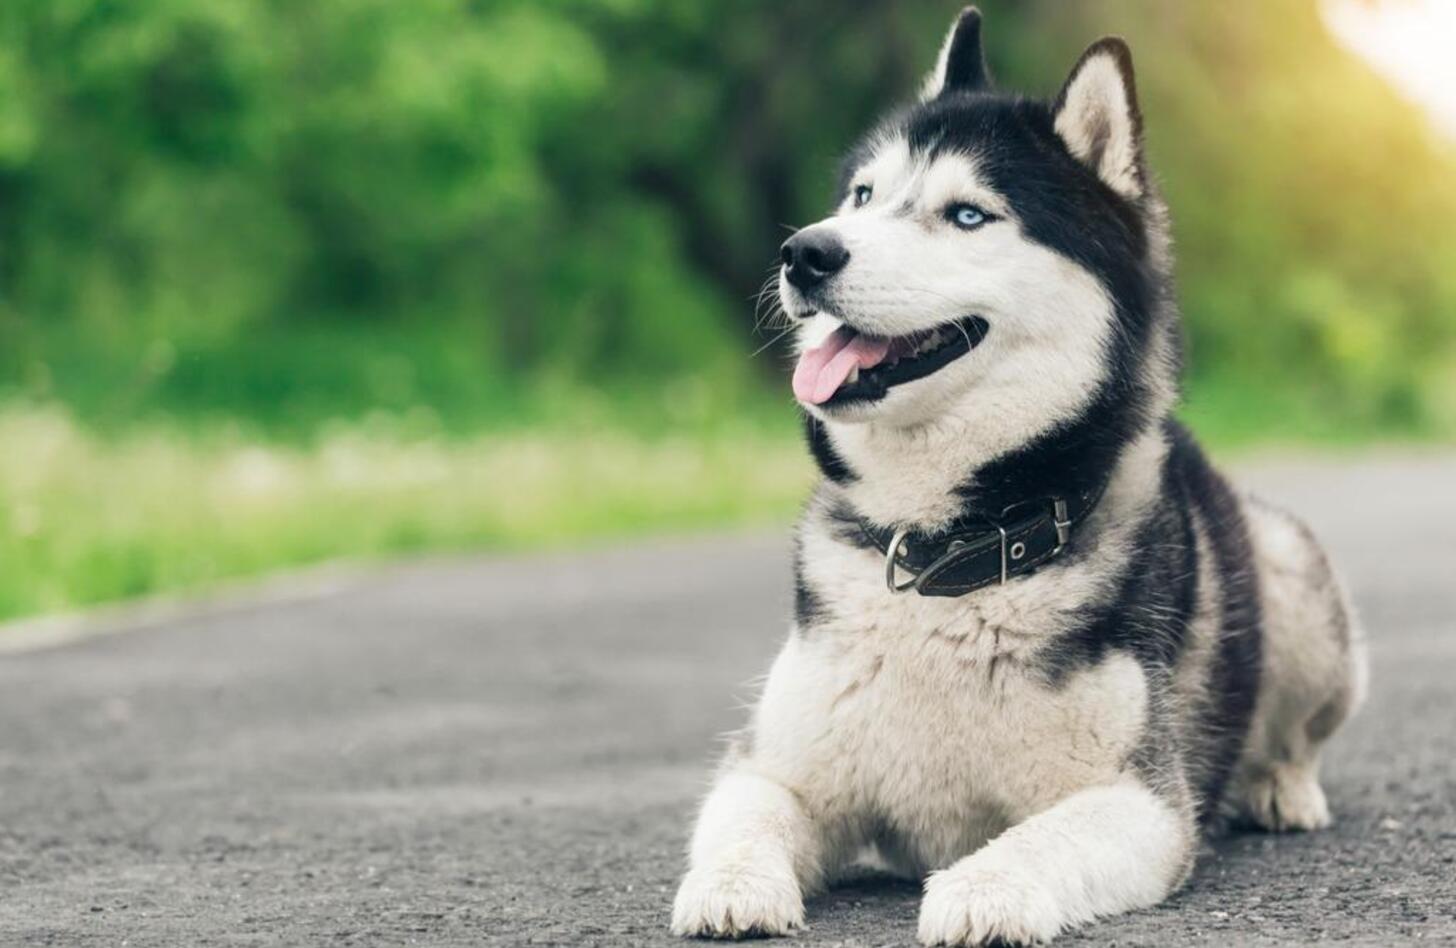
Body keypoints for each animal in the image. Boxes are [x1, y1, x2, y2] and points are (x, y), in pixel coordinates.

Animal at [669, 9, 1362, 948]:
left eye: (968, 214)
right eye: (863, 196)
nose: (804, 252)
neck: (948, 547)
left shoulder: (1139, 798)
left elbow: (1041, 837)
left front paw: (982, 890)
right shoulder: (777, 766)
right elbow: (748, 812)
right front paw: (732, 885)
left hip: (1293, 579)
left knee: (1298, 730)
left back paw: (1279, 786)